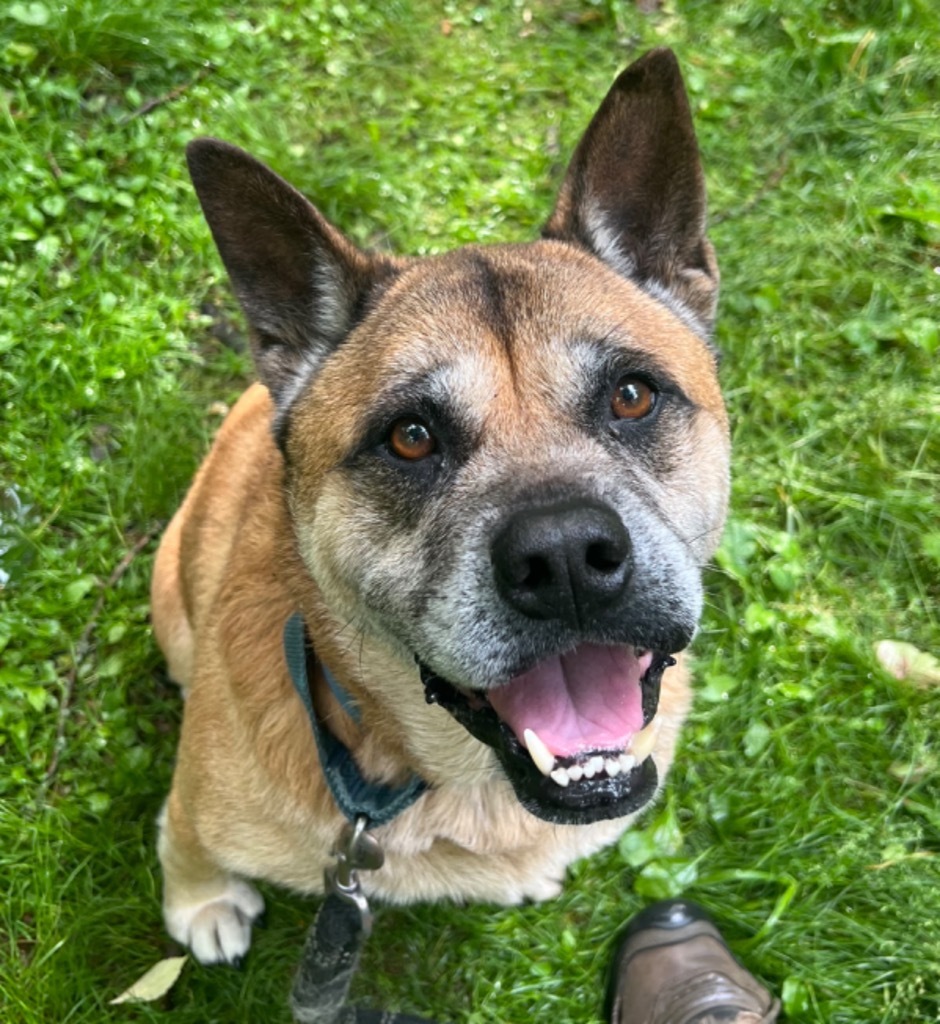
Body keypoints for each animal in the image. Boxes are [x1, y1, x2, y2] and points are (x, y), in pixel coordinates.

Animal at [152, 44, 729, 962]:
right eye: (411, 437)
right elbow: (185, 840)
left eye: (633, 395)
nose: (566, 558)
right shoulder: (198, 802)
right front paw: (201, 901)